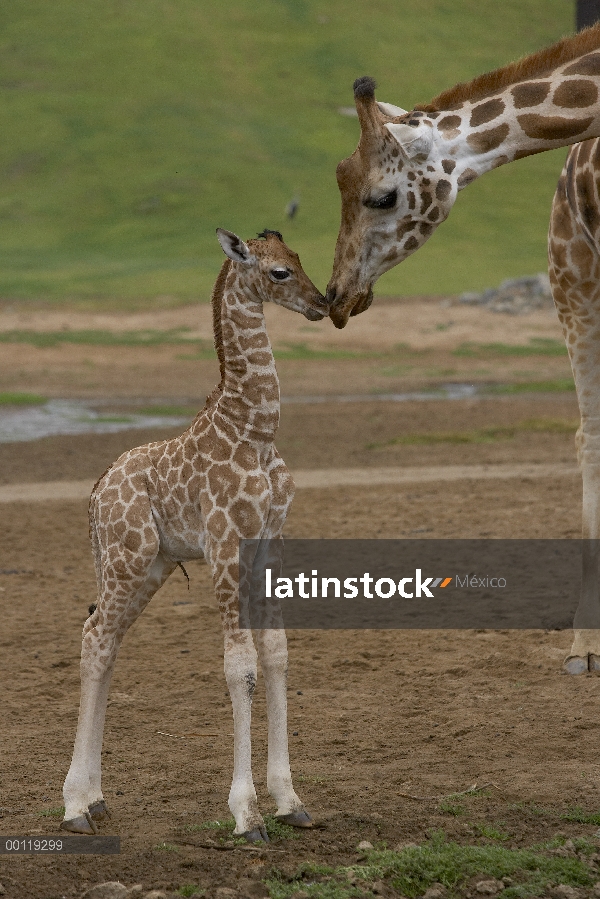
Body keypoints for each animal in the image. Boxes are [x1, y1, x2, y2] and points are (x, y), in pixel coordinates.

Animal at [61, 227, 328, 844]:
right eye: (278, 272)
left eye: (299, 259)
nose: (322, 303)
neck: (257, 431)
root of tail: (97, 490)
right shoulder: (225, 543)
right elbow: (240, 667)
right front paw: (246, 814)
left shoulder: (270, 542)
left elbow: (277, 654)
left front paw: (290, 800)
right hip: (128, 558)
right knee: (95, 638)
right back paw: (74, 806)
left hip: (149, 566)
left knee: (104, 639)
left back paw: (96, 799)